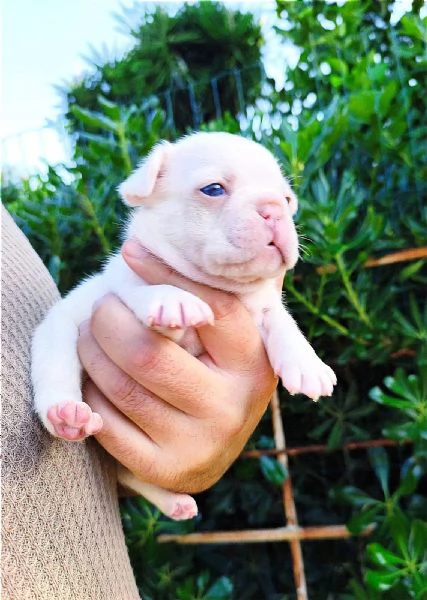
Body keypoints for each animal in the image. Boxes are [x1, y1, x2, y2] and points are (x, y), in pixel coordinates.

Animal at [30, 132, 338, 520]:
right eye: (214, 189)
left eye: (285, 199)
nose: (274, 209)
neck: (217, 286)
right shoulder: (120, 283)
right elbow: (141, 288)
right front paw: (172, 301)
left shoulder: (262, 304)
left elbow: (280, 317)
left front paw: (307, 363)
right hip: (55, 340)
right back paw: (66, 414)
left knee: (133, 477)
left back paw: (174, 502)